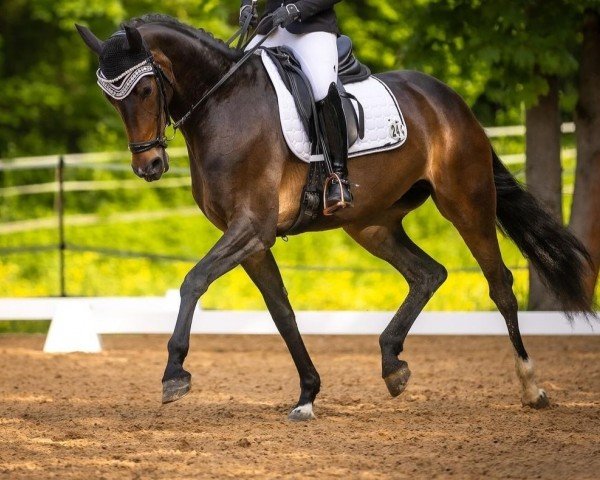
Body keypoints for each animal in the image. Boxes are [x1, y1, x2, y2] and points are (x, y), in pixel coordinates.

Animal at [74, 15, 592, 420]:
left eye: (145, 88)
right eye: (112, 99)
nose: (149, 166)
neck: (222, 105)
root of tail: (449, 99)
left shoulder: (251, 227)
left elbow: (193, 281)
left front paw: (174, 374)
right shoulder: (252, 240)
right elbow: (282, 312)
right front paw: (307, 394)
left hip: (466, 202)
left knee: (499, 282)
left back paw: (532, 387)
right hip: (371, 224)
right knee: (428, 273)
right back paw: (392, 365)